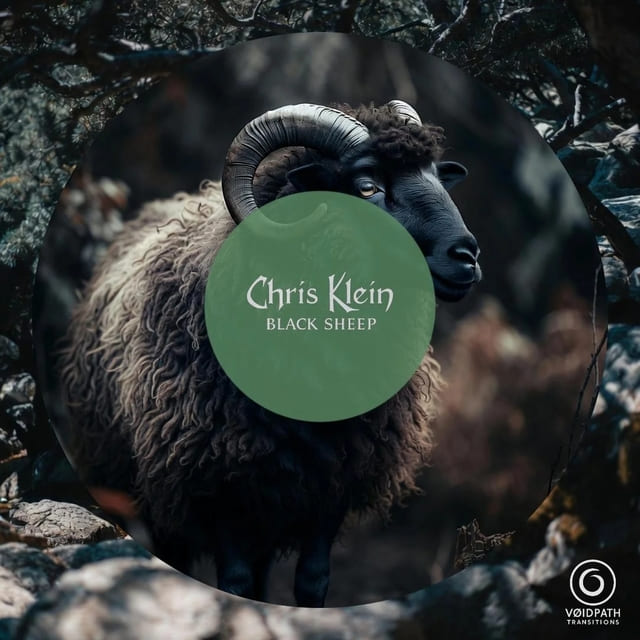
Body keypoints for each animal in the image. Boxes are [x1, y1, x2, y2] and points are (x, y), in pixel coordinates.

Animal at [59, 101, 481, 607]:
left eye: (438, 176)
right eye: (368, 186)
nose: (467, 255)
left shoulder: (333, 484)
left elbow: (313, 579)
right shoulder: (216, 484)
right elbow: (235, 581)